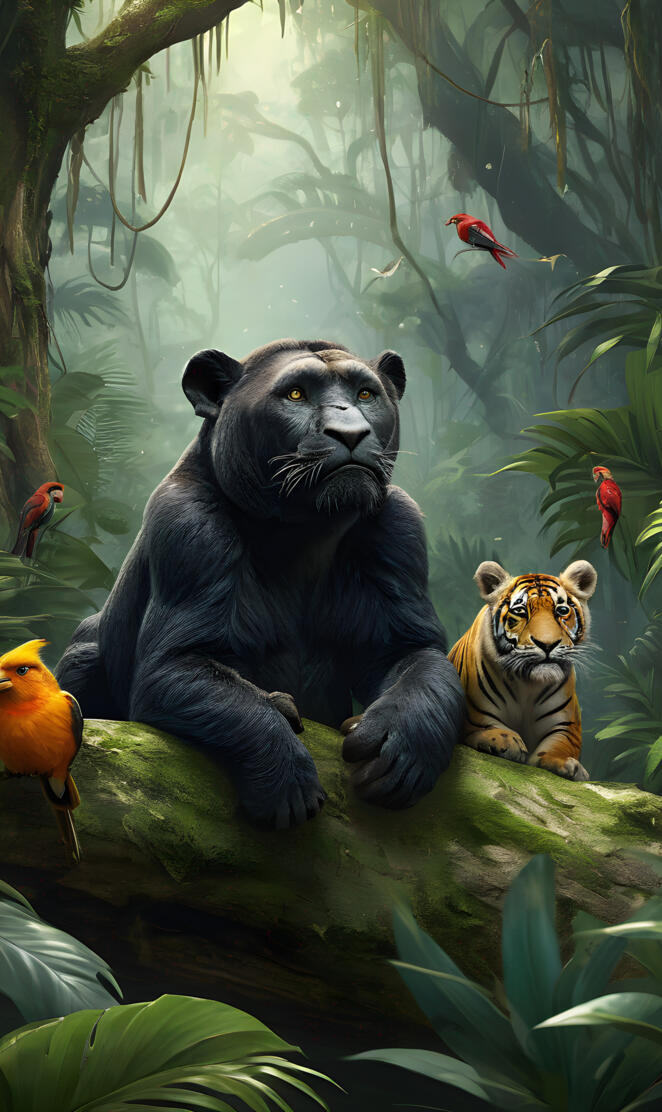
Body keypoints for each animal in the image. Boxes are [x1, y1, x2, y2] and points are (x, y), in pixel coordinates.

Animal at [56, 339, 464, 828]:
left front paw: (398, 752)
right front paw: (286, 783)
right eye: (295, 394)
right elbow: (232, 698)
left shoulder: (400, 545)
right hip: (81, 658)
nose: (350, 433)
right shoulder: (186, 539)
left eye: (366, 394)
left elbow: (421, 674)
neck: (304, 537)